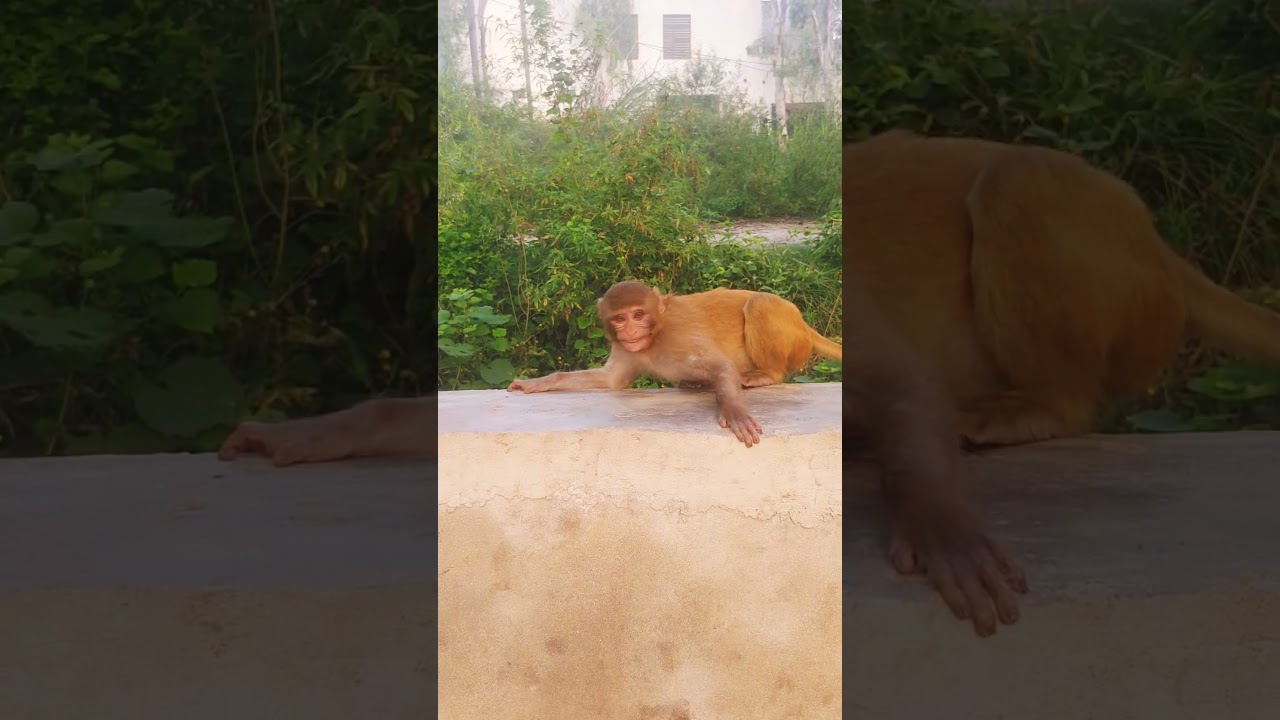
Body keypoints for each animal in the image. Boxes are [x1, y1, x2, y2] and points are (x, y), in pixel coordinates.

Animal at [505, 281, 844, 447]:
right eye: (620, 318)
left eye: (638, 315)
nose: (631, 332)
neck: (655, 337)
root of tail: (804, 326)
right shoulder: (628, 350)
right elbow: (611, 380)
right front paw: (538, 382)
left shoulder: (679, 333)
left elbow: (721, 365)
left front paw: (734, 410)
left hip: (793, 342)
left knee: (759, 304)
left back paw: (766, 375)